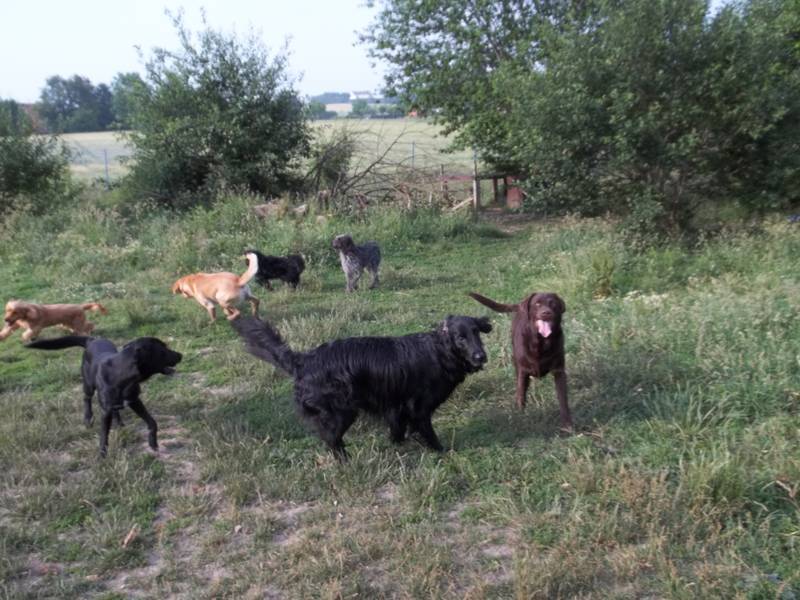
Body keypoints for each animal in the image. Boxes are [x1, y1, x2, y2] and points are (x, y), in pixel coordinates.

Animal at [26, 335, 182, 456]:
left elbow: (152, 422)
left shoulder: (134, 401)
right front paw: (102, 455)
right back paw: (88, 418)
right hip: (88, 384)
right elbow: (104, 435)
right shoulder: (105, 411)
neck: (121, 375)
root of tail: (92, 339)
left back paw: (119, 422)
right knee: (86, 398)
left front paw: (153, 443)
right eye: (163, 350)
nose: (180, 355)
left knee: (115, 410)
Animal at [232, 315, 491, 460]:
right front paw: (441, 451)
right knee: (331, 438)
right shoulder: (417, 407)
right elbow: (427, 431)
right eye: (460, 338)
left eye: (477, 333)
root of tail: (304, 360)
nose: (481, 356)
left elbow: (399, 430)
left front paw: (400, 446)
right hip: (342, 410)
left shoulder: (396, 407)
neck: (440, 351)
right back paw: (346, 462)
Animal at [469, 291, 572, 429]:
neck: (541, 343)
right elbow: (521, 393)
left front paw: (567, 424)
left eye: (553, 304)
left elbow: (562, 398)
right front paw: (521, 416)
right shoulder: (523, 371)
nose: (546, 313)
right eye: (537, 304)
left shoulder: (559, 370)